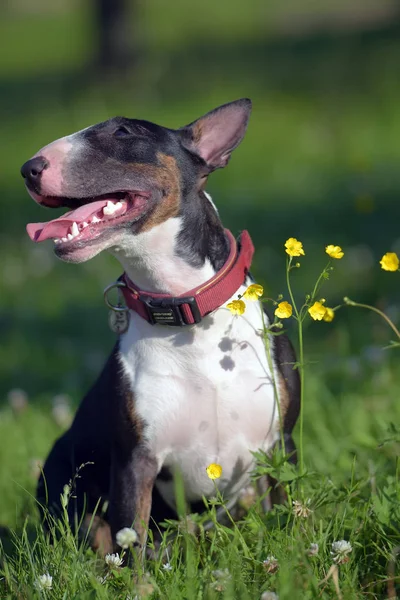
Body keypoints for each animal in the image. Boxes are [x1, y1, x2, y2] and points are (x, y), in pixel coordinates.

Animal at [20, 101, 298, 556]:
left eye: (123, 131)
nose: (29, 168)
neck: (187, 315)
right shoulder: (136, 459)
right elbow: (130, 542)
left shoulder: (281, 444)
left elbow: (290, 512)